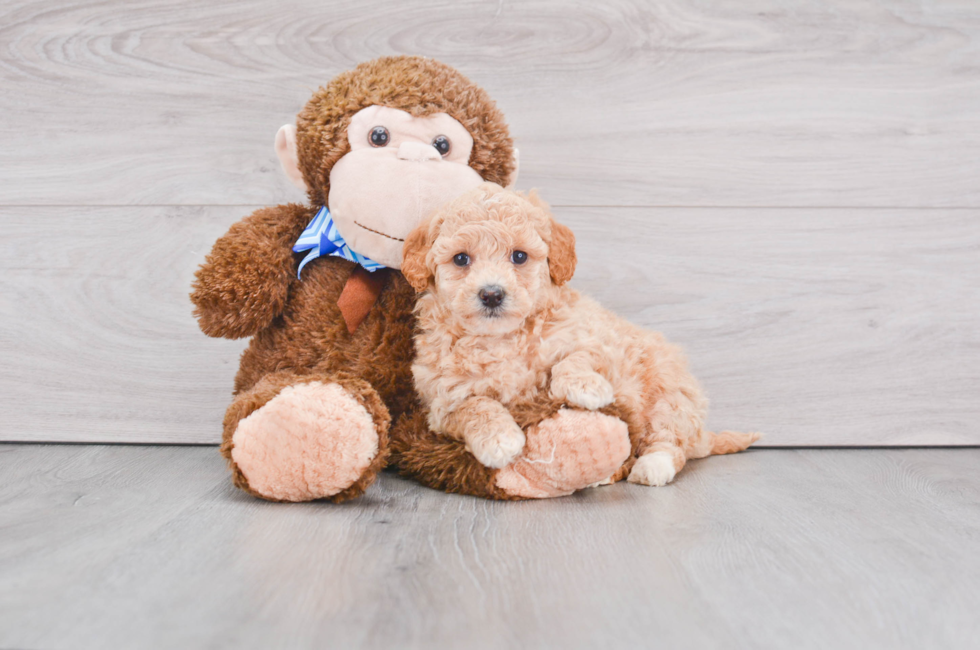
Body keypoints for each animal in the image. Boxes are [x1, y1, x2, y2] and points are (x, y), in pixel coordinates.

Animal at [402, 182, 756, 486]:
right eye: (461, 259)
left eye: (519, 256)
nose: (492, 294)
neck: (502, 339)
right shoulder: (443, 400)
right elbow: (475, 406)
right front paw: (500, 439)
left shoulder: (596, 341)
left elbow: (572, 360)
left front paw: (587, 387)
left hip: (671, 393)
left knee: (670, 439)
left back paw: (652, 466)